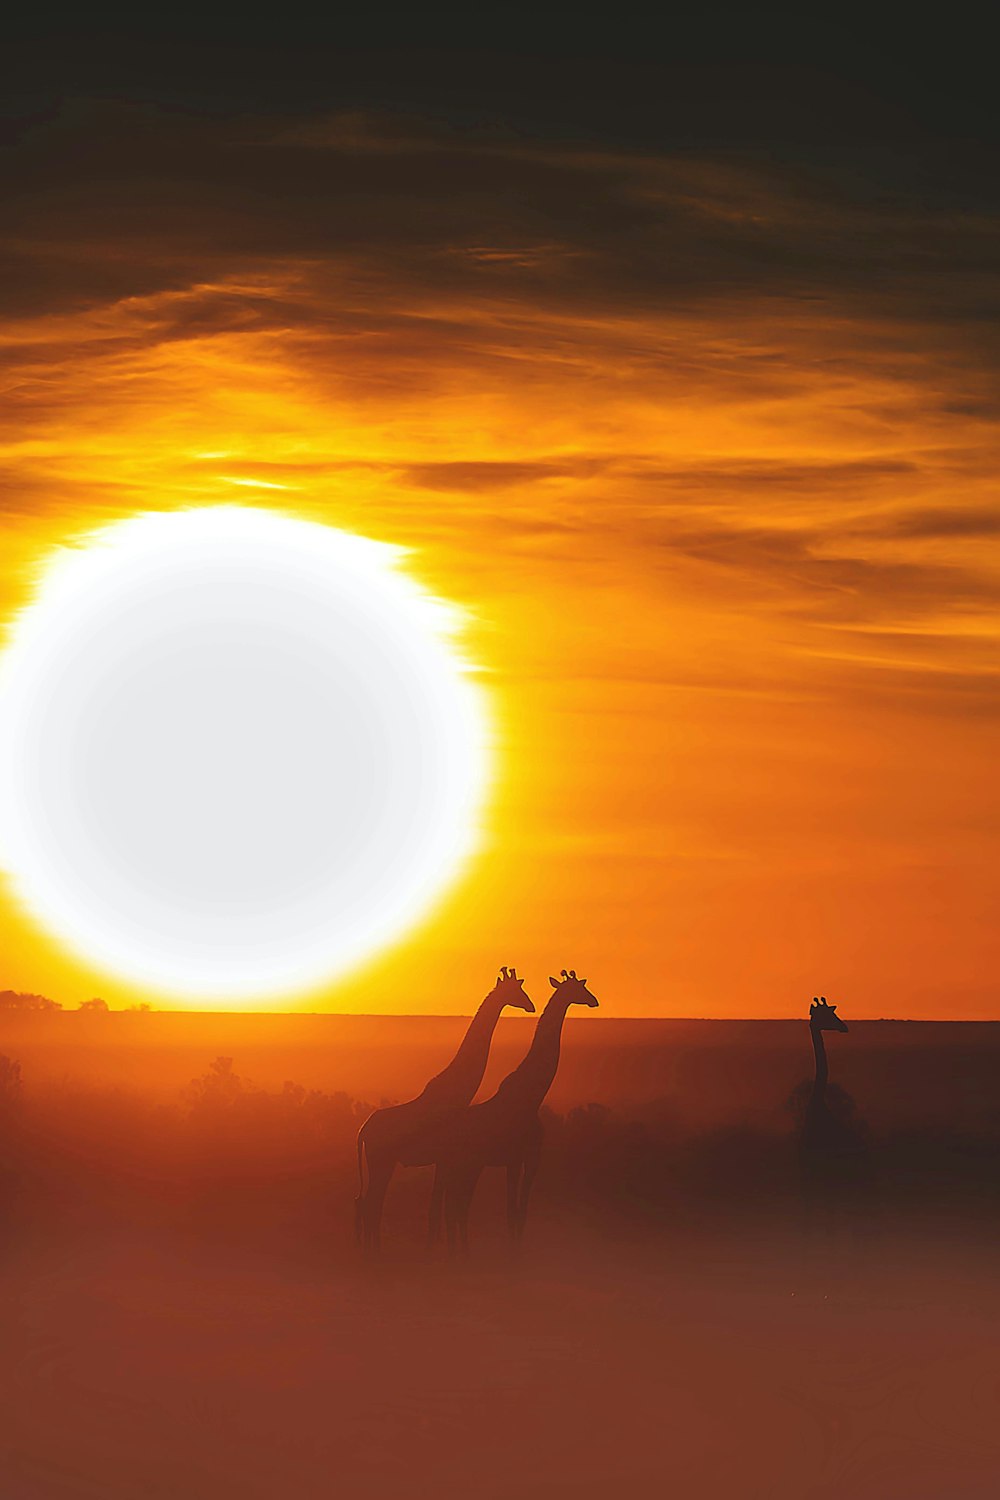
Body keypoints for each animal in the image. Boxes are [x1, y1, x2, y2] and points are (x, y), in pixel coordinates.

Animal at [355, 966, 536, 1248]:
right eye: (517, 991)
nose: (531, 1006)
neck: (457, 1093)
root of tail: (363, 1130)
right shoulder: (446, 1157)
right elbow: (440, 1209)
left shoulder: (444, 1159)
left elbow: (438, 1210)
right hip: (381, 1161)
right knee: (371, 1203)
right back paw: (373, 1251)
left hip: (382, 1163)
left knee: (369, 1203)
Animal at [440, 972, 599, 1254]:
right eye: (580, 988)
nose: (595, 1001)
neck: (531, 1099)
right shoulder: (513, 1159)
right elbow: (510, 1211)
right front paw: (513, 1254)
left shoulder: (531, 1159)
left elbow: (521, 1211)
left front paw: (518, 1249)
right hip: (463, 1165)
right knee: (455, 1207)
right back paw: (460, 1252)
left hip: (465, 1166)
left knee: (455, 1206)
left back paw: (459, 1251)